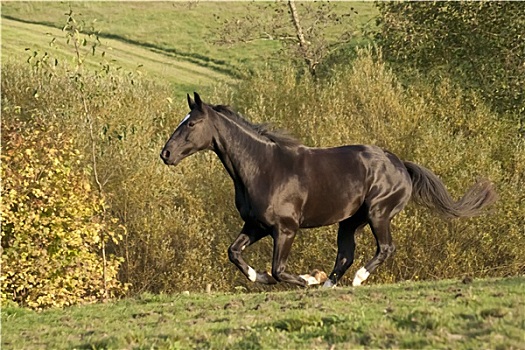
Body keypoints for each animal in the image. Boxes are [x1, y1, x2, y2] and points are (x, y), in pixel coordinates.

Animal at [160, 92, 496, 288]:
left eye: (191, 124)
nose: (166, 154)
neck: (262, 168)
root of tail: (400, 164)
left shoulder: (286, 229)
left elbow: (280, 269)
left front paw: (306, 278)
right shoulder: (256, 225)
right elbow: (234, 253)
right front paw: (261, 277)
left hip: (378, 213)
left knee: (384, 249)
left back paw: (354, 279)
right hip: (350, 221)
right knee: (346, 254)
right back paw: (328, 285)